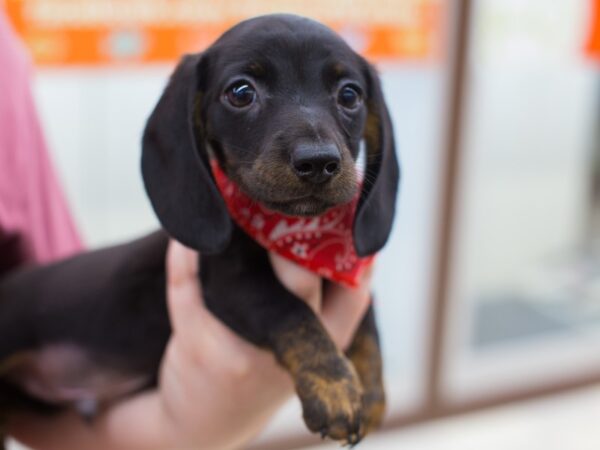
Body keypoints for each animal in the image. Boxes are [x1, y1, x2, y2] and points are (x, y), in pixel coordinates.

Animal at [1, 14, 404, 446]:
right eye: (241, 92)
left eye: (349, 95)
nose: (318, 163)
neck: (300, 233)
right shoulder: (233, 286)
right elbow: (294, 313)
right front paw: (333, 386)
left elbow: (367, 318)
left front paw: (372, 390)